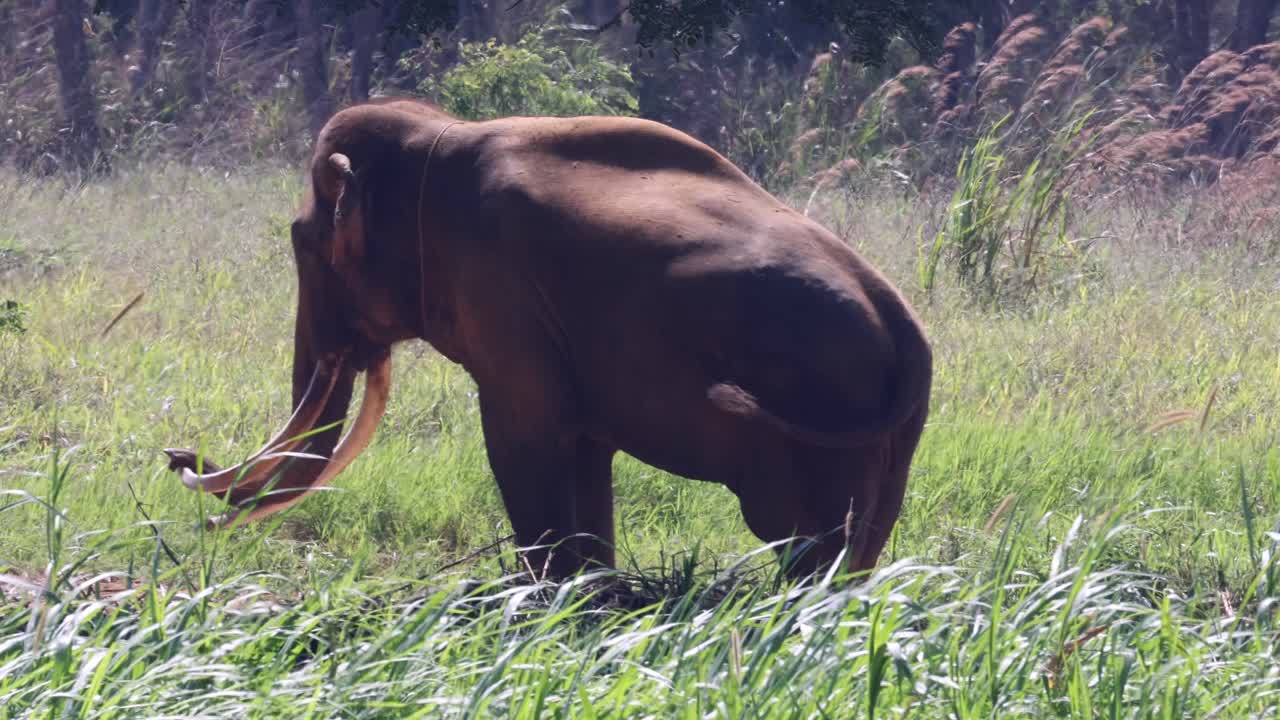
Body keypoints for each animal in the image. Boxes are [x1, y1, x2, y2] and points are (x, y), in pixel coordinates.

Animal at [164, 97, 933, 580]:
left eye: (304, 243)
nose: (178, 454)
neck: (441, 134)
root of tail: (902, 323)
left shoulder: (500, 290)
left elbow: (520, 436)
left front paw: (547, 605)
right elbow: (585, 447)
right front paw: (591, 596)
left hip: (819, 403)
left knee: (802, 540)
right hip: (887, 435)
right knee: (857, 547)